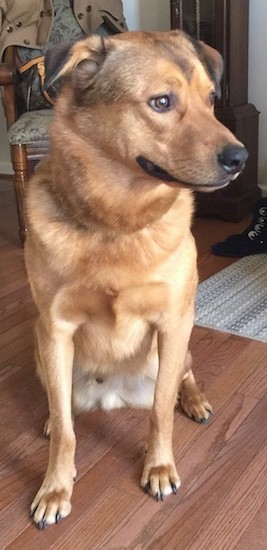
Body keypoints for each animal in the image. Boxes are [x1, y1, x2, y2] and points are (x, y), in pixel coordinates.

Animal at [25, 30, 249, 532]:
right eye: (161, 102)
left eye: (211, 100)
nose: (241, 158)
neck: (118, 222)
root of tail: (115, 397)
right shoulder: (54, 328)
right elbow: (66, 431)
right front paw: (55, 487)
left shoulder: (173, 319)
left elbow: (161, 412)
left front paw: (159, 466)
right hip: (39, 350)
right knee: (59, 404)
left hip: (181, 338)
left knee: (183, 374)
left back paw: (195, 401)